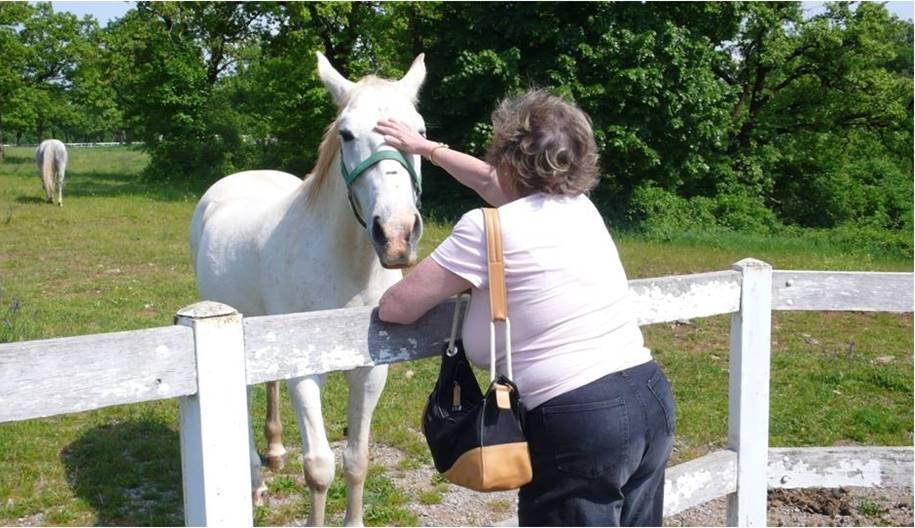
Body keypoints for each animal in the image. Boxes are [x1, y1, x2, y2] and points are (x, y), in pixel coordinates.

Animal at [189, 52, 426, 526]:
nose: (396, 236)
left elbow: (357, 459)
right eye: (347, 134)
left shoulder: (371, 370)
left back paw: (276, 450)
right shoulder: (305, 373)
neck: (346, 267)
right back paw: (256, 480)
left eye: (421, 131)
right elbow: (319, 468)